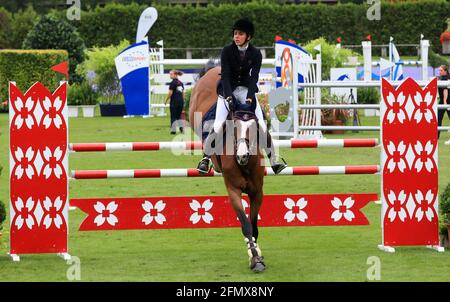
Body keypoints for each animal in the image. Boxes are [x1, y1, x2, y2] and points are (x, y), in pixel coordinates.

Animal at [190, 63, 268, 272]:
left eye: (254, 127)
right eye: (234, 127)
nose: (242, 155)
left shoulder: (257, 191)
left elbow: (253, 225)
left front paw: (256, 254)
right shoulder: (233, 190)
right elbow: (245, 224)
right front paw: (255, 259)